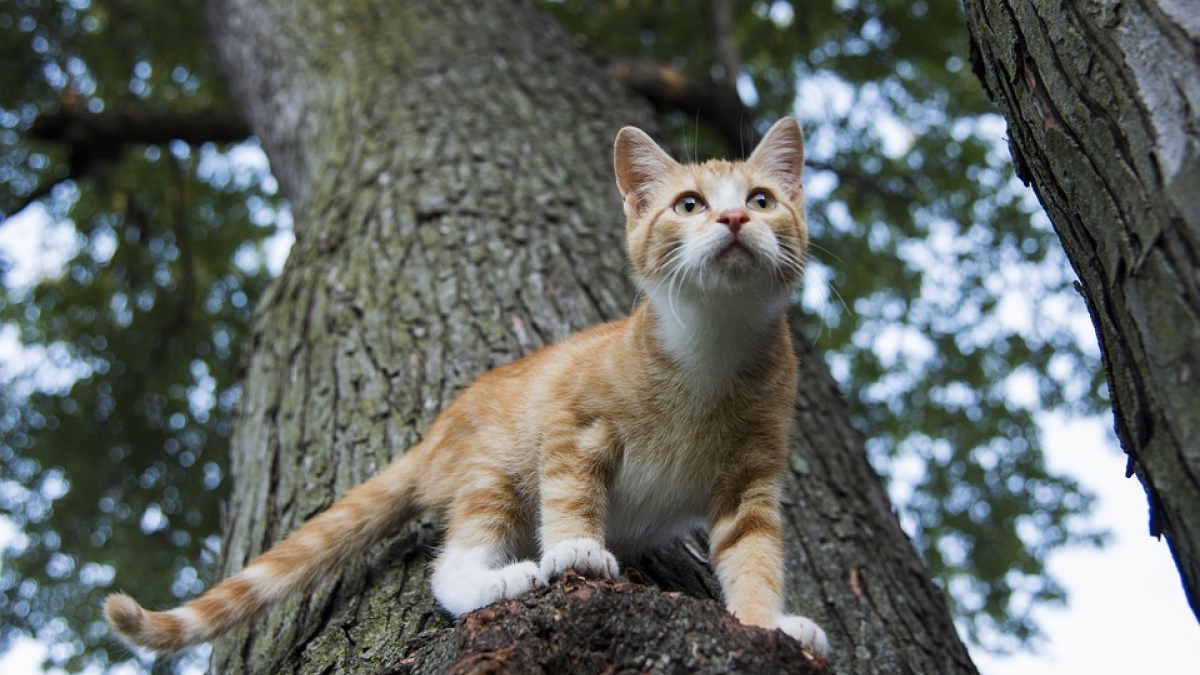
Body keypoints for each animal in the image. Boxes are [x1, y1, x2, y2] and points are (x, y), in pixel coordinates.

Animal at [105, 117, 825, 658]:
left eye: (761, 199)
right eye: (689, 204)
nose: (733, 218)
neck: (709, 348)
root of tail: (435, 435)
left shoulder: (752, 478)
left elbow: (755, 553)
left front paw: (768, 622)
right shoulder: (571, 420)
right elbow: (570, 490)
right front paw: (575, 545)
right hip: (493, 469)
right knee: (451, 565)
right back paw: (498, 579)